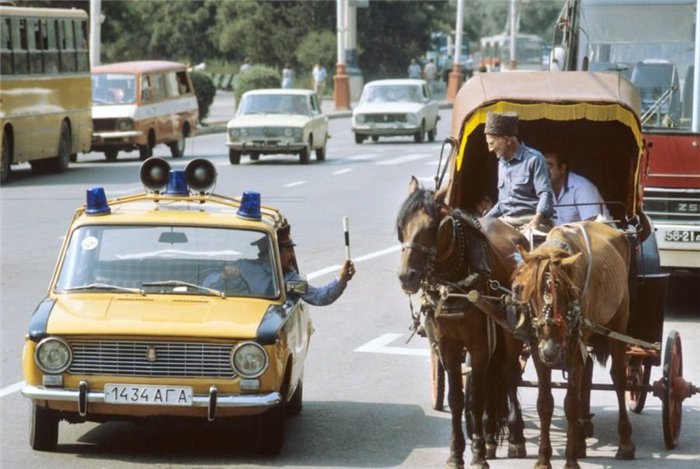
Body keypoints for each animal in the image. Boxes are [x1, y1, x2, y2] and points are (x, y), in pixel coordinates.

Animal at [400, 176, 524, 468]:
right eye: (402, 227)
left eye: (431, 228)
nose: (406, 276)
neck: (455, 282)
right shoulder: (448, 345)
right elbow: (457, 399)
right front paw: (457, 453)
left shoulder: (479, 344)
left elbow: (475, 399)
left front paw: (477, 455)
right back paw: (489, 436)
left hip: (511, 331)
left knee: (510, 374)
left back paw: (515, 436)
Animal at [508, 220, 636, 468]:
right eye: (531, 293)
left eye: (568, 293)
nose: (551, 349)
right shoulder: (538, 349)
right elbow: (545, 404)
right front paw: (544, 458)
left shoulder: (575, 347)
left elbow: (570, 404)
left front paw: (570, 459)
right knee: (585, 377)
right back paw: (581, 435)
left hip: (619, 321)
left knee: (618, 378)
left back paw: (624, 441)